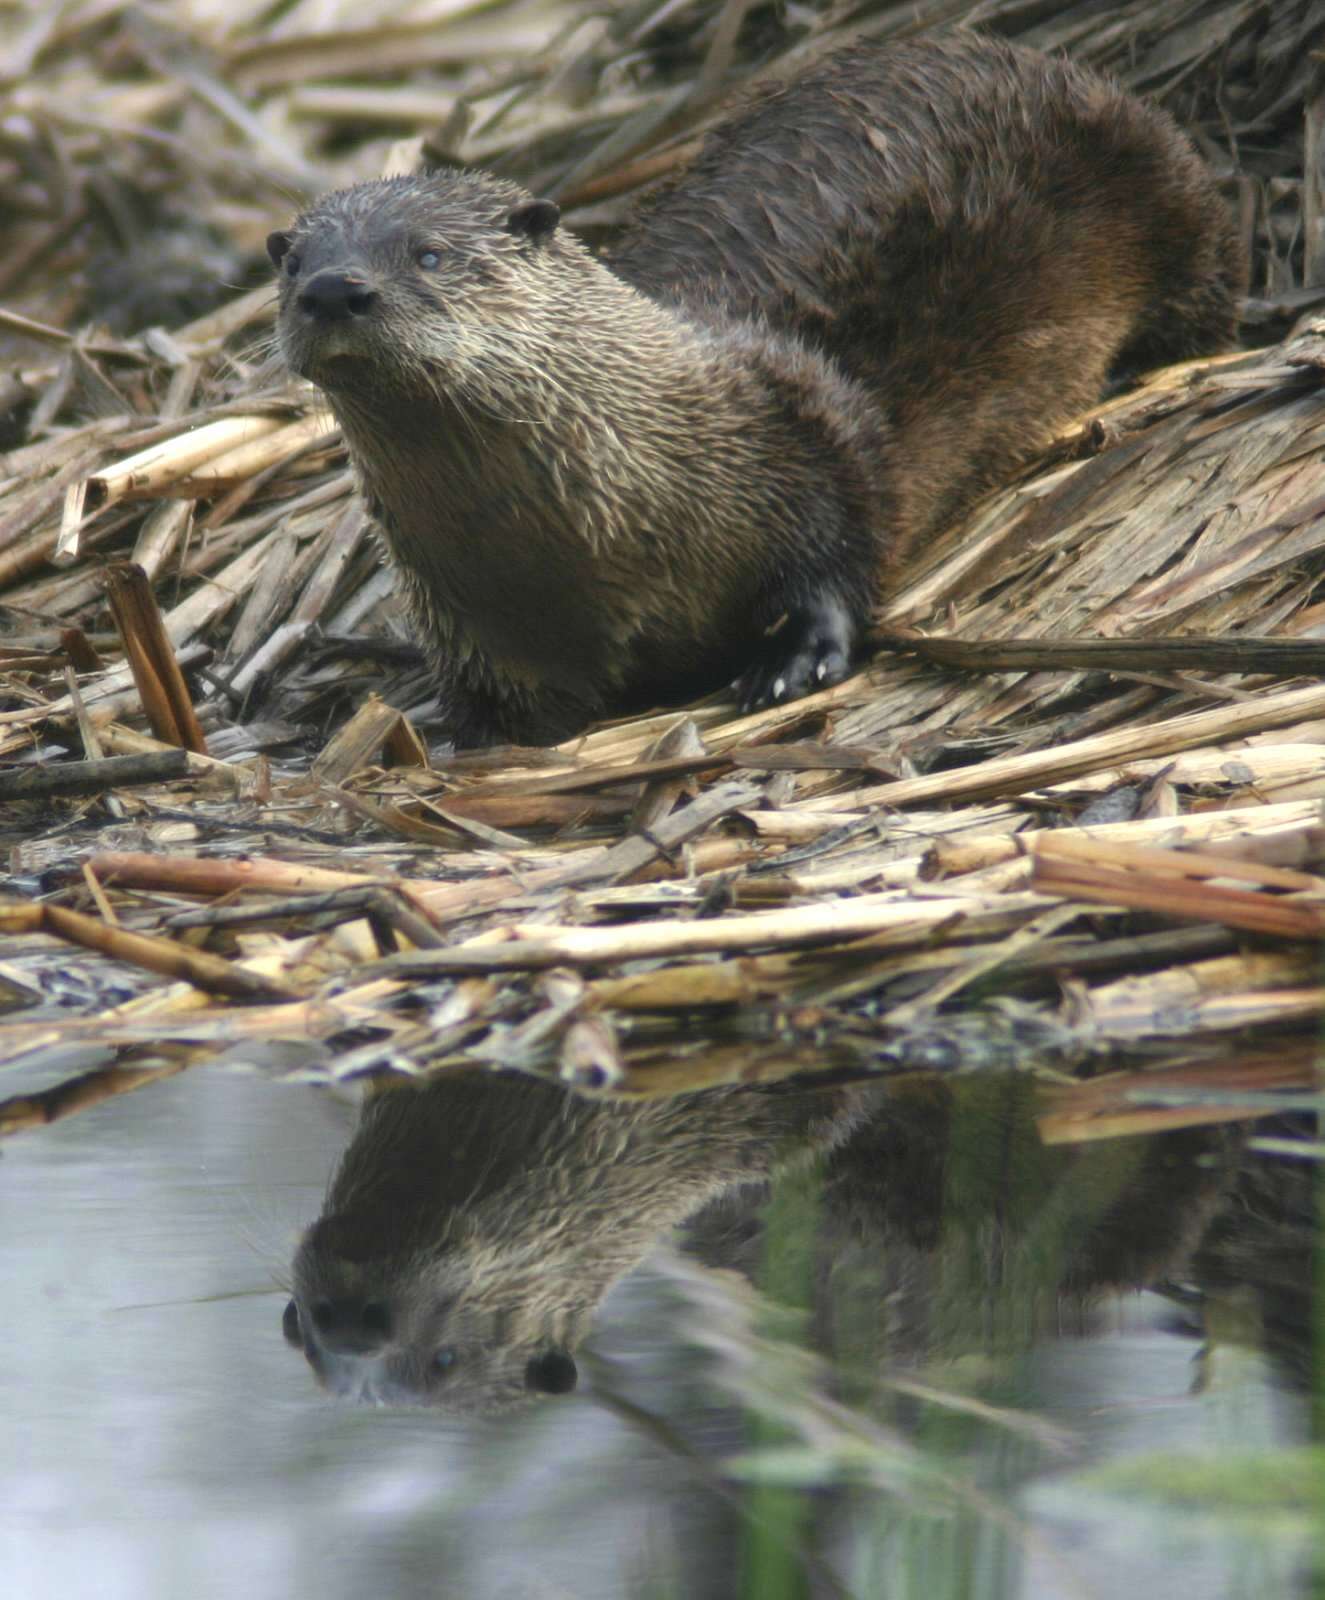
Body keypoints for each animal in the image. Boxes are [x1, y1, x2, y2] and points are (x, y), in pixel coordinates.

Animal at [267, 31, 1241, 742]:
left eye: (428, 254)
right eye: (293, 264)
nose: (335, 289)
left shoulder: (801, 432)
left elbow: (846, 539)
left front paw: (793, 662)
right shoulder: (473, 620)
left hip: (1167, 186)